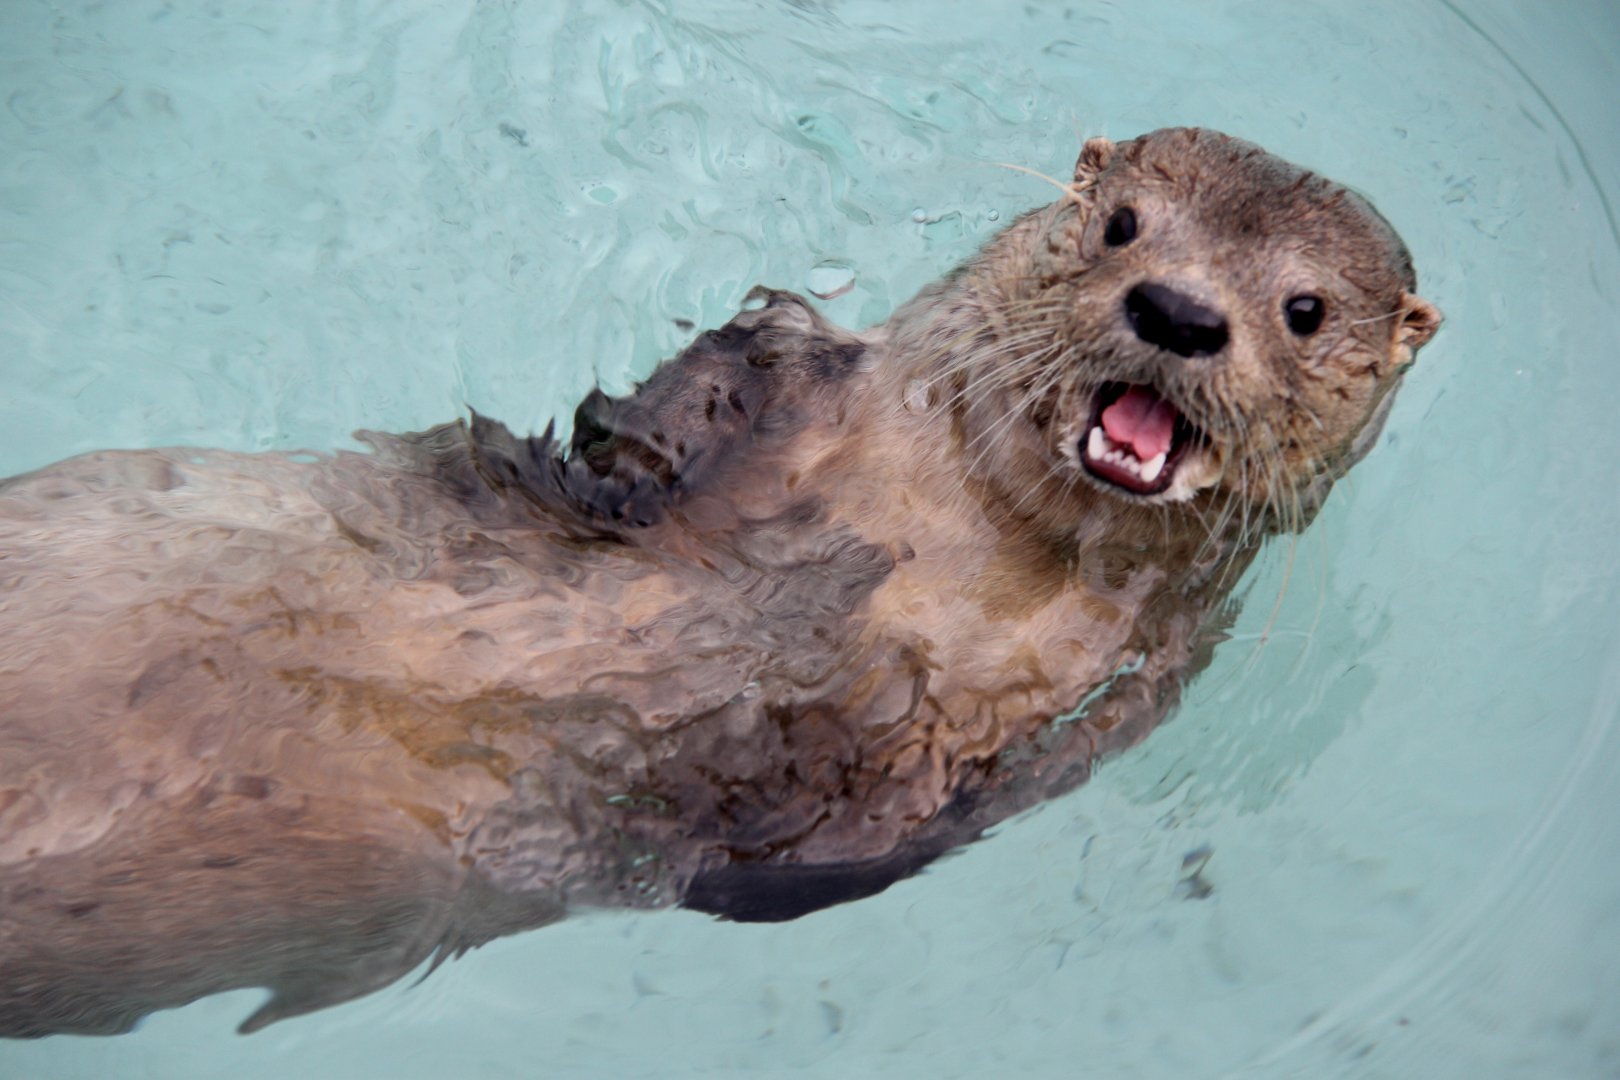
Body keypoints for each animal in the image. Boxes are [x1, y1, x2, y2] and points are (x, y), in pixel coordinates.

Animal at [0, 128, 1440, 1037]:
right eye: (1123, 226)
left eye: (1304, 309)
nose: (1180, 311)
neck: (946, 552)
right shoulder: (804, 394)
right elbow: (701, 397)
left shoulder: (1109, 704)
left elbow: (824, 843)